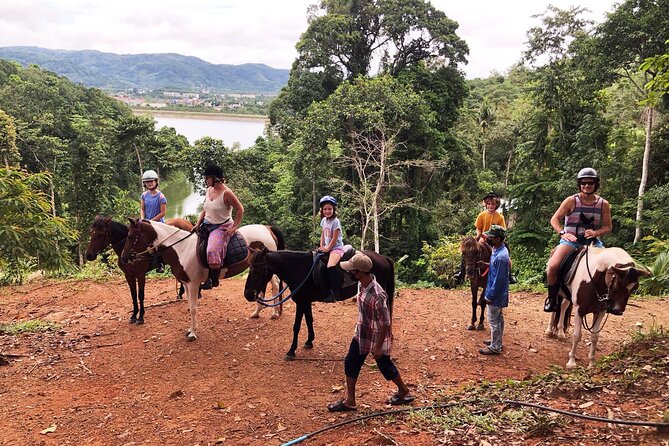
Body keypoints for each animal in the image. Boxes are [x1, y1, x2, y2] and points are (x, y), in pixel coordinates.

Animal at [120, 218, 284, 340]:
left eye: (130, 236)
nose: (123, 258)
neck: (181, 248)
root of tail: (267, 228)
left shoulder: (193, 284)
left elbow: (193, 308)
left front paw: (192, 334)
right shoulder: (186, 284)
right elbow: (190, 305)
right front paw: (190, 329)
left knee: (275, 285)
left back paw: (275, 313)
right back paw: (257, 312)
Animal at [244, 249, 394, 360]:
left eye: (256, 270)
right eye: (249, 268)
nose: (247, 294)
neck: (299, 269)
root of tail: (383, 258)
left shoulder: (301, 302)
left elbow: (296, 326)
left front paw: (291, 351)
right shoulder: (305, 301)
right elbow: (309, 320)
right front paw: (309, 341)